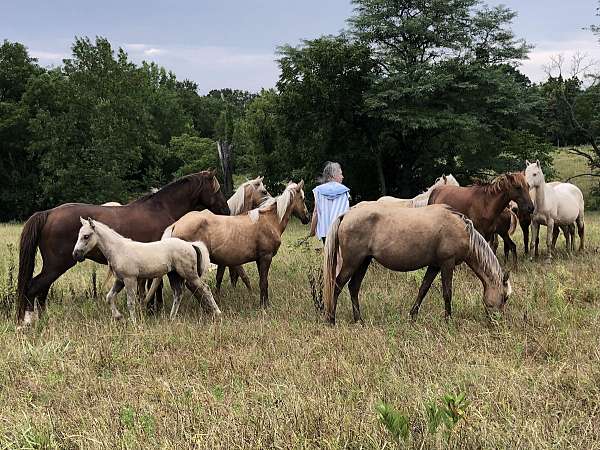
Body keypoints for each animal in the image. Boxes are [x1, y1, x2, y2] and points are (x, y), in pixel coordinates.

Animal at [71, 217, 220, 320]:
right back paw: (171, 318)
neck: (119, 249)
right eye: (78, 235)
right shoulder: (120, 280)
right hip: (174, 275)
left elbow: (130, 302)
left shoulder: (130, 279)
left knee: (205, 289)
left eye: (86, 236)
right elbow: (109, 297)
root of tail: (191, 245)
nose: (75, 254)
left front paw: (134, 322)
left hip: (189, 274)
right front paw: (118, 316)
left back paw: (218, 313)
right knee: (178, 293)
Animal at [324, 203, 510, 324]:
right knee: (337, 285)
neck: (462, 230)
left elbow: (423, 289)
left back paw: (359, 320)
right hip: (352, 262)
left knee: (353, 287)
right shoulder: (447, 263)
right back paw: (331, 319)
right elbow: (447, 292)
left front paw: (413, 316)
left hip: (363, 262)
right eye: (505, 297)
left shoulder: (435, 266)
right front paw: (448, 320)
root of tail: (347, 214)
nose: (498, 322)